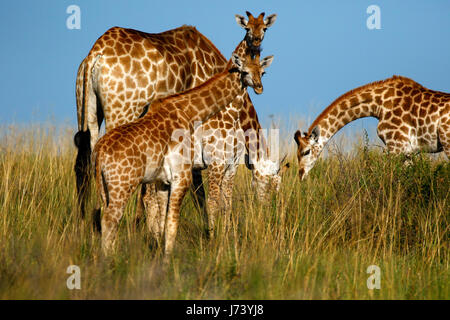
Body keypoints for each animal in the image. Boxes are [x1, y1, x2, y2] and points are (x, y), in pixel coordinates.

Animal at [73, 11, 280, 228]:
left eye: (265, 28)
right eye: (270, 184)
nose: (267, 215)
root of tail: (96, 54)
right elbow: (199, 191)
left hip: (86, 106)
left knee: (83, 163)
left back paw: (84, 223)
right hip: (122, 111)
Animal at [92, 50, 272, 255]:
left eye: (262, 72)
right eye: (245, 71)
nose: (259, 87)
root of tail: (99, 150)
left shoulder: (170, 178)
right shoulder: (194, 171)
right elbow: (185, 215)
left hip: (106, 187)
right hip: (122, 185)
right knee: (113, 218)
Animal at [294, 75, 450, 180]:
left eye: (306, 152)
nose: (301, 175)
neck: (378, 105)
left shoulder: (397, 147)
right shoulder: (408, 152)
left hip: (447, 143)